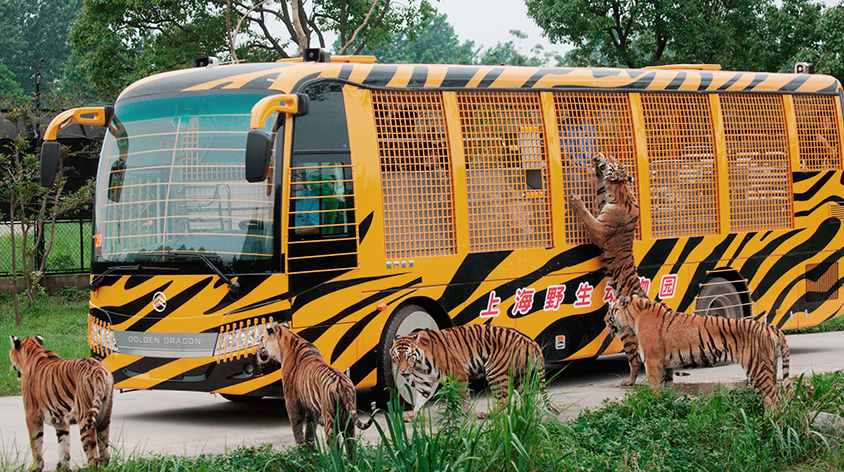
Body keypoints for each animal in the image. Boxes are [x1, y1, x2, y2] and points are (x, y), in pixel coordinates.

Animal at [9, 334, 113, 470]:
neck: (33, 351)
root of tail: (98, 369)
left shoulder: (31, 415)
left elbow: (36, 443)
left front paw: (35, 466)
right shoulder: (60, 421)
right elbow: (64, 444)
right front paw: (62, 467)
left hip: (85, 418)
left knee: (93, 456)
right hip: (104, 416)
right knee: (105, 453)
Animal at [572, 153, 648, 386]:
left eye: (613, 162)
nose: (598, 154)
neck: (621, 189)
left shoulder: (599, 229)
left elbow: (587, 216)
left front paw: (576, 200)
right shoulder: (603, 199)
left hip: (626, 334)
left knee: (635, 360)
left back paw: (628, 383)